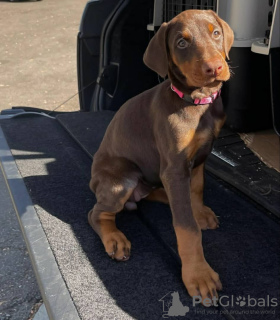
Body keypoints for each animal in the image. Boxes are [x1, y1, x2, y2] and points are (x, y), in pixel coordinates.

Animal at [88, 9, 233, 304]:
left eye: (215, 33)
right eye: (181, 43)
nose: (214, 68)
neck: (194, 103)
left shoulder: (199, 156)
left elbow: (196, 188)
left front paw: (198, 210)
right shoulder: (175, 167)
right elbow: (187, 228)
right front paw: (198, 276)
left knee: (163, 194)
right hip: (122, 179)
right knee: (97, 213)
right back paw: (114, 238)